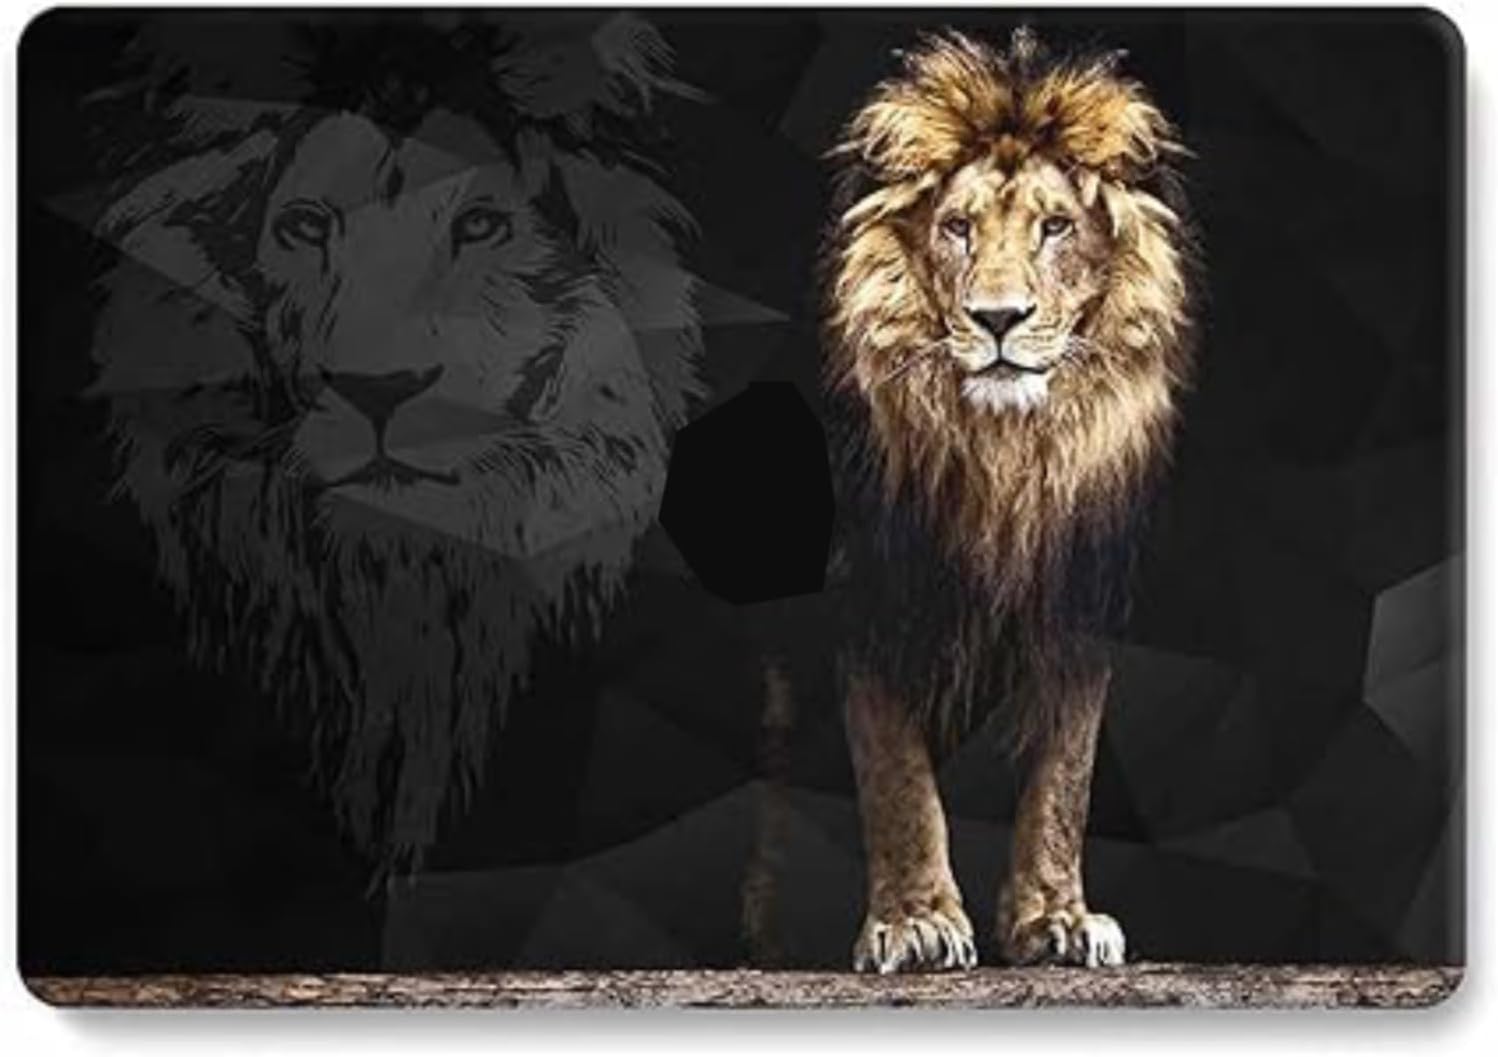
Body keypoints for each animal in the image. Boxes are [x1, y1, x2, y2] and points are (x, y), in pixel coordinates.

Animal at [820, 28, 1194, 972]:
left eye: (1055, 226)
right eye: (957, 228)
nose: (997, 318)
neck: (1005, 456)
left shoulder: (1082, 602)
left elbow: (1066, 775)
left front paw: (1056, 917)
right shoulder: (872, 593)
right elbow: (897, 773)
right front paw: (916, 920)